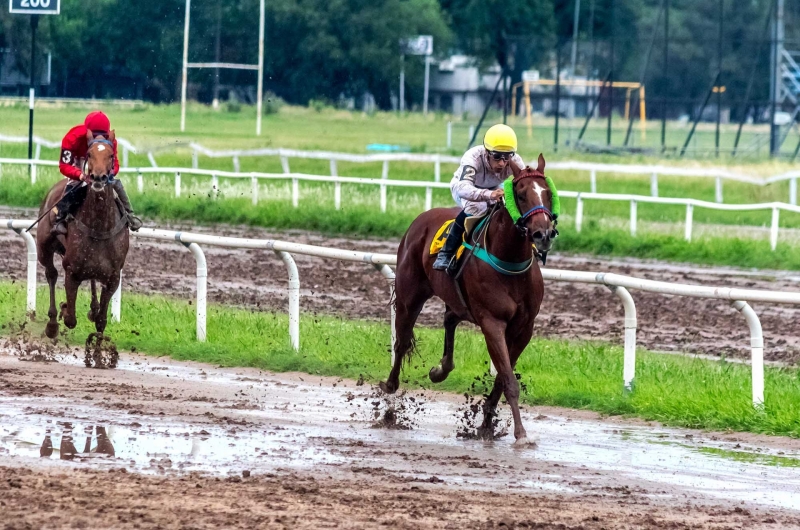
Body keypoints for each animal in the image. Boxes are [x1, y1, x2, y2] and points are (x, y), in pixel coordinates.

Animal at [36, 129, 129, 344]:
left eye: (111, 155)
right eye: (89, 154)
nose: (98, 177)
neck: (100, 226)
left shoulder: (113, 277)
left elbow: (102, 320)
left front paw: (98, 349)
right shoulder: (72, 271)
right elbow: (70, 317)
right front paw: (63, 309)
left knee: (92, 281)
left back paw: (92, 309)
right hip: (44, 248)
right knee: (51, 274)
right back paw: (52, 323)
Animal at [380, 155, 556, 444]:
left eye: (548, 193)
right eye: (520, 194)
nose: (543, 234)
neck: (510, 260)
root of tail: (422, 218)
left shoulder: (524, 327)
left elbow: (502, 377)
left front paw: (486, 425)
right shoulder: (492, 322)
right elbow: (508, 378)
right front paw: (521, 434)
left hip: (458, 301)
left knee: (450, 318)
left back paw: (441, 370)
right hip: (410, 295)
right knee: (402, 341)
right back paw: (390, 393)